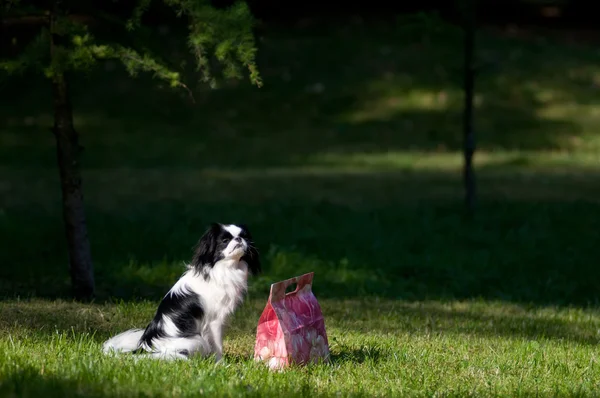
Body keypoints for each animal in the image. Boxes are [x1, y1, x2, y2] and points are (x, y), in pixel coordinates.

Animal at [102, 224, 260, 360]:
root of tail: (143, 348)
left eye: (244, 237)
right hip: (196, 340)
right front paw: (220, 364)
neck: (225, 268)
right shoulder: (214, 322)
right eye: (225, 240)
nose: (239, 239)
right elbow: (218, 347)